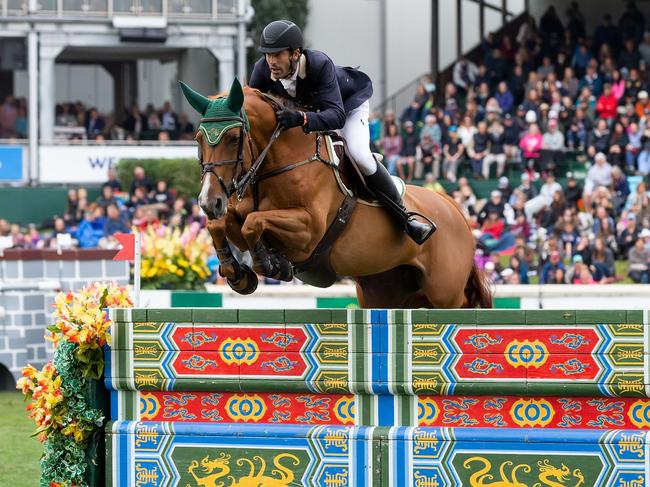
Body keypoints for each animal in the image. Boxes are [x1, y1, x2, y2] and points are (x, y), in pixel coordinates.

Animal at [180, 79, 488, 308]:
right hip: (385, 290)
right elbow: (221, 224)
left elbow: (253, 222)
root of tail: (454, 208)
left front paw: (270, 263)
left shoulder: (308, 231)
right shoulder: (236, 214)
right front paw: (237, 274)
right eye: (198, 139)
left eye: (234, 138)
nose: (209, 201)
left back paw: (416, 227)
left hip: (444, 293)